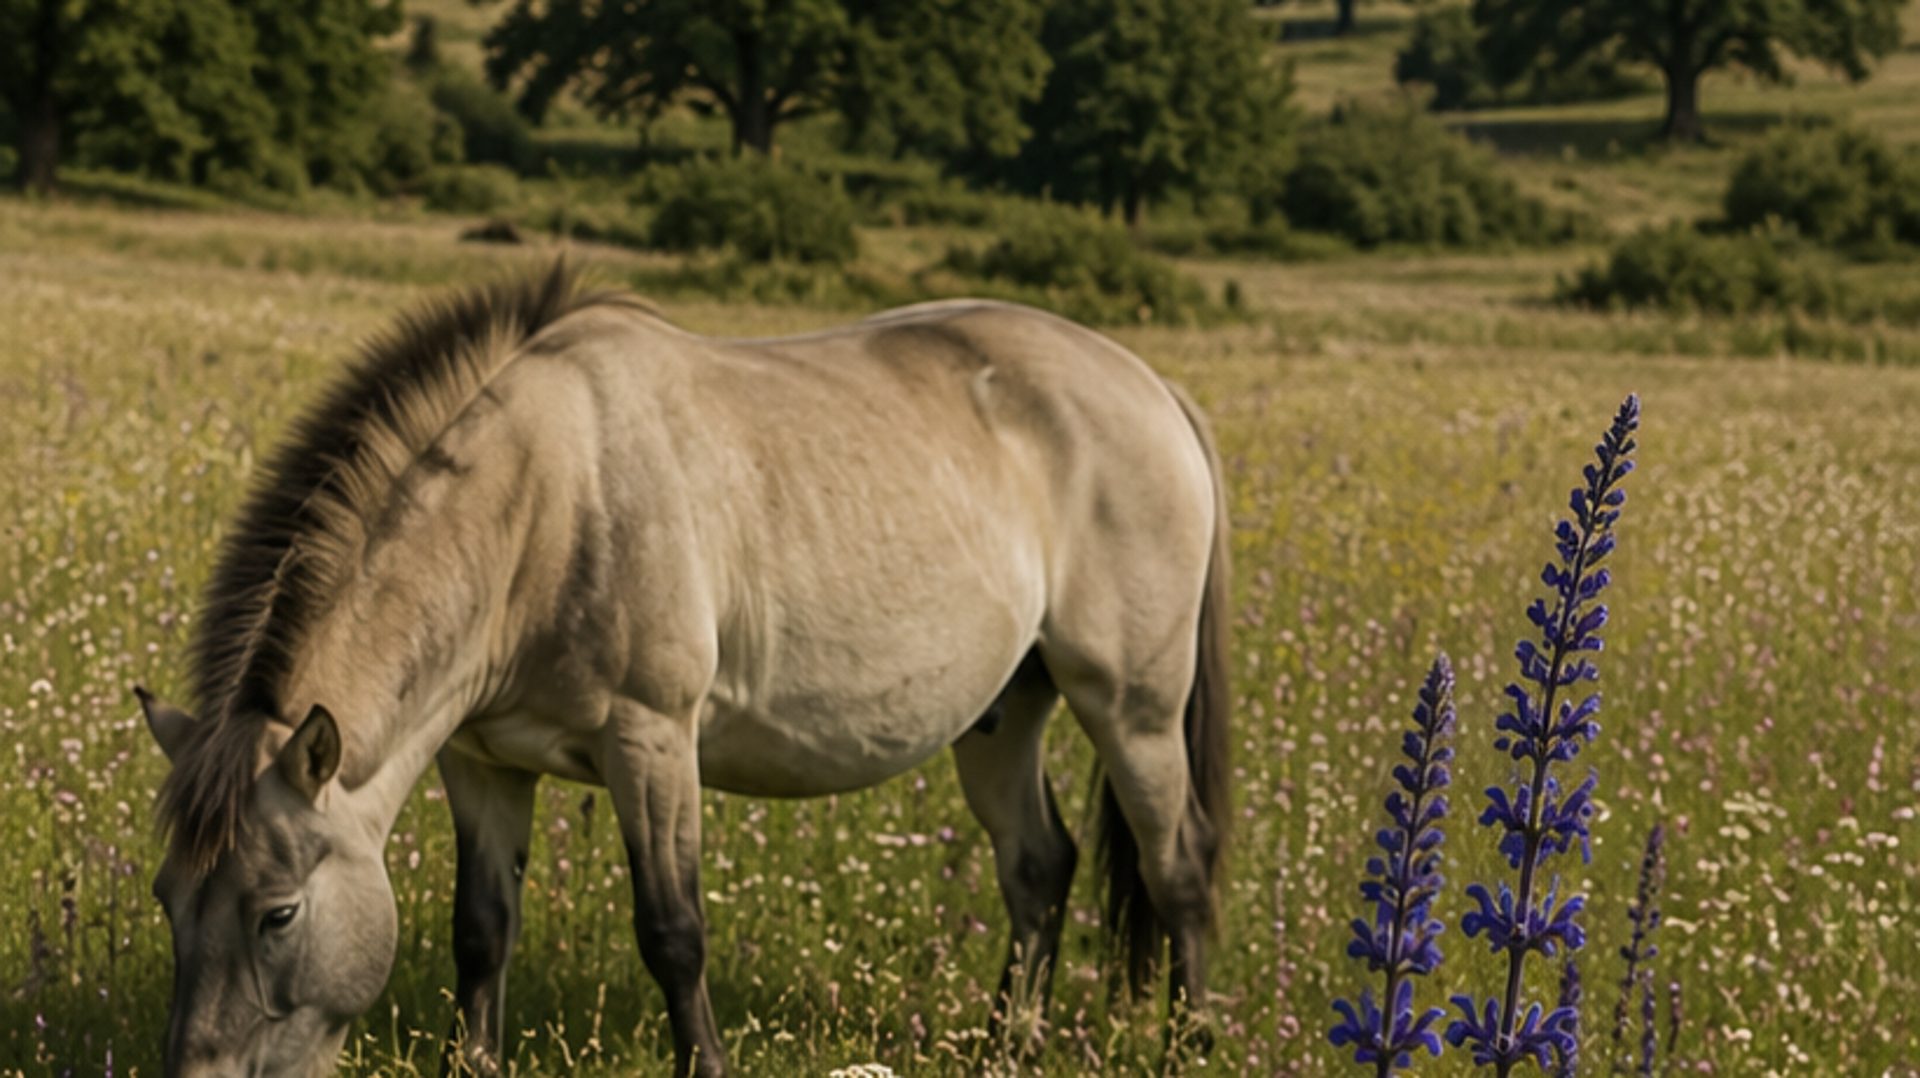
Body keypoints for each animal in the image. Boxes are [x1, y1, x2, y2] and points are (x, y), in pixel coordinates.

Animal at [137, 262, 1231, 1077]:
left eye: (277, 912)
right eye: (165, 898)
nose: (195, 1076)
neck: (541, 505)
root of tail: (1154, 389)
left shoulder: (652, 739)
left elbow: (672, 928)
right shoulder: (482, 761)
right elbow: (482, 927)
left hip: (1132, 705)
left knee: (1177, 864)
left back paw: (1189, 1045)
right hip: (1004, 714)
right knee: (1039, 868)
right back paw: (1008, 1048)